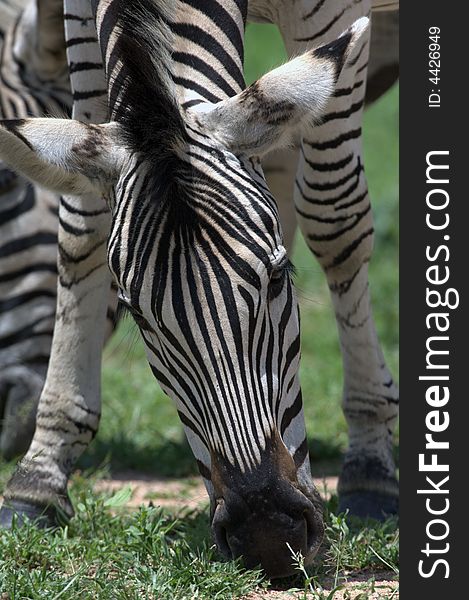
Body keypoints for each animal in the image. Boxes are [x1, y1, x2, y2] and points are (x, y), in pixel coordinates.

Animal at [0, 1, 396, 580]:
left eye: (280, 278)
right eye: (138, 316)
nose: (268, 536)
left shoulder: (328, 16)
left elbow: (334, 216)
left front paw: (370, 463)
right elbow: (83, 225)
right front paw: (40, 477)